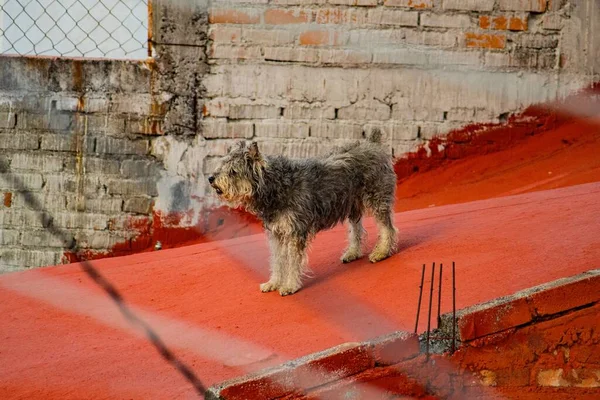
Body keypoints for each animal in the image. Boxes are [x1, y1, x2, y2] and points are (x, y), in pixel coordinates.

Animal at [210, 130, 398, 296]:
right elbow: (277, 261)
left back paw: (382, 252)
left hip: (377, 199)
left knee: (387, 228)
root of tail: (373, 143)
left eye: (233, 171)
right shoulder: (277, 234)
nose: (211, 178)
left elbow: (293, 262)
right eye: (222, 165)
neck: (277, 186)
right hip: (352, 205)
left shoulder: (295, 233)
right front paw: (273, 283)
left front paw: (289, 286)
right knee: (356, 229)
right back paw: (353, 252)